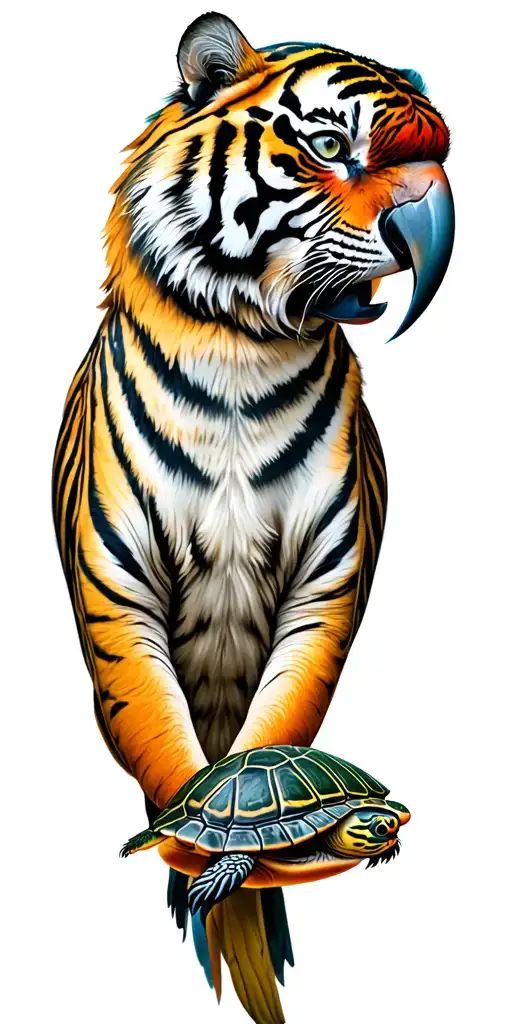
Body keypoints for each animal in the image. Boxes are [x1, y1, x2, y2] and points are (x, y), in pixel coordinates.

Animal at [52, 13, 452, 1024]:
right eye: (332, 147)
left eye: (441, 152)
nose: (432, 220)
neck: (244, 353)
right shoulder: (116, 592)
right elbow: (157, 730)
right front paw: (198, 849)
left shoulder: (327, 583)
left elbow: (285, 712)